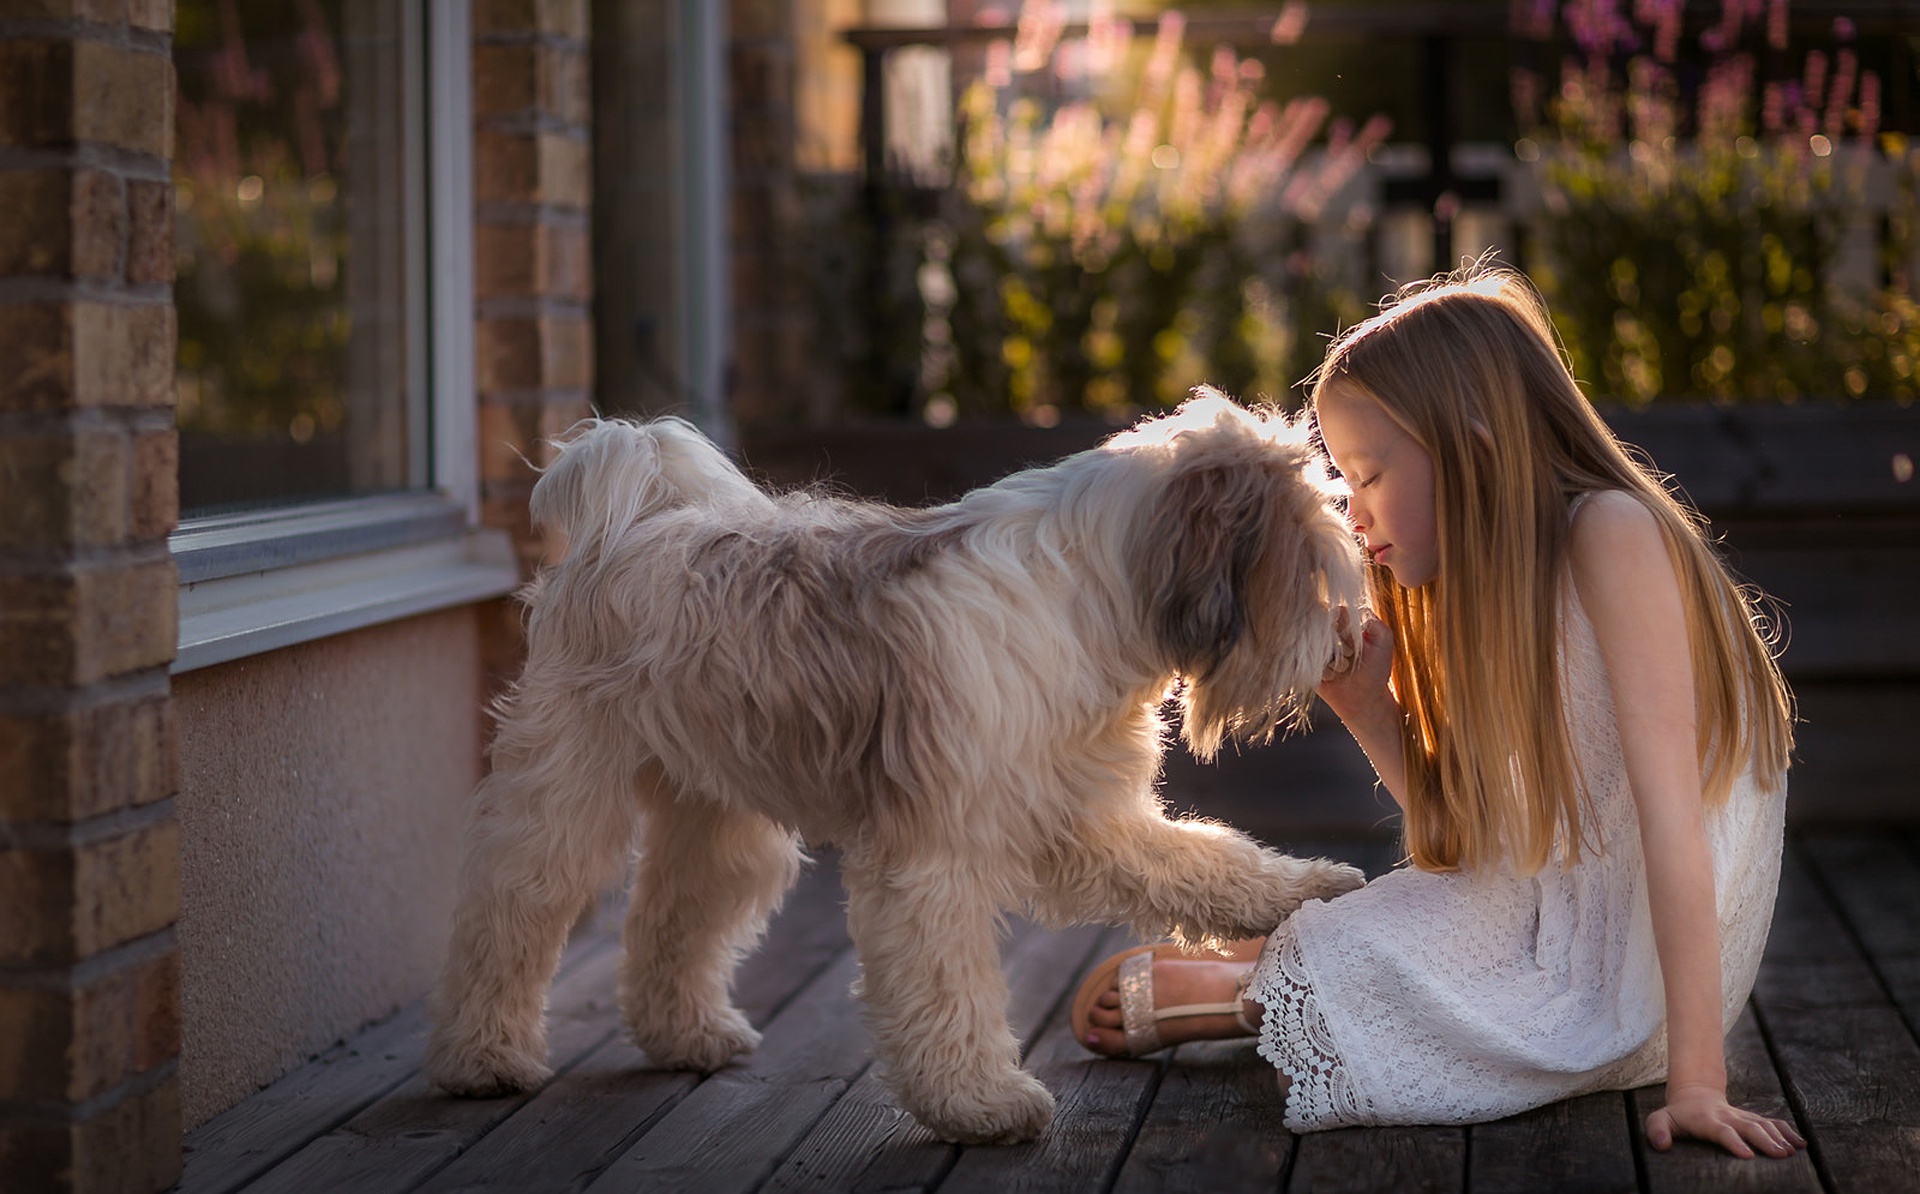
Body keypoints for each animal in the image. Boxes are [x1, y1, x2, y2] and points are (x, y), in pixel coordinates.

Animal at [430, 391, 1374, 1144]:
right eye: (1314, 564)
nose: (1343, 645)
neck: (1089, 597)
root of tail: (631, 524)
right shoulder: (935, 856)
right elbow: (949, 988)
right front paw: (979, 1104)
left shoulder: (1081, 817)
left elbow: (1205, 861)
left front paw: (1309, 888)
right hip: (564, 798)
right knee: (508, 917)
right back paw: (485, 1058)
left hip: (720, 822)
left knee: (673, 919)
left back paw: (687, 1037)